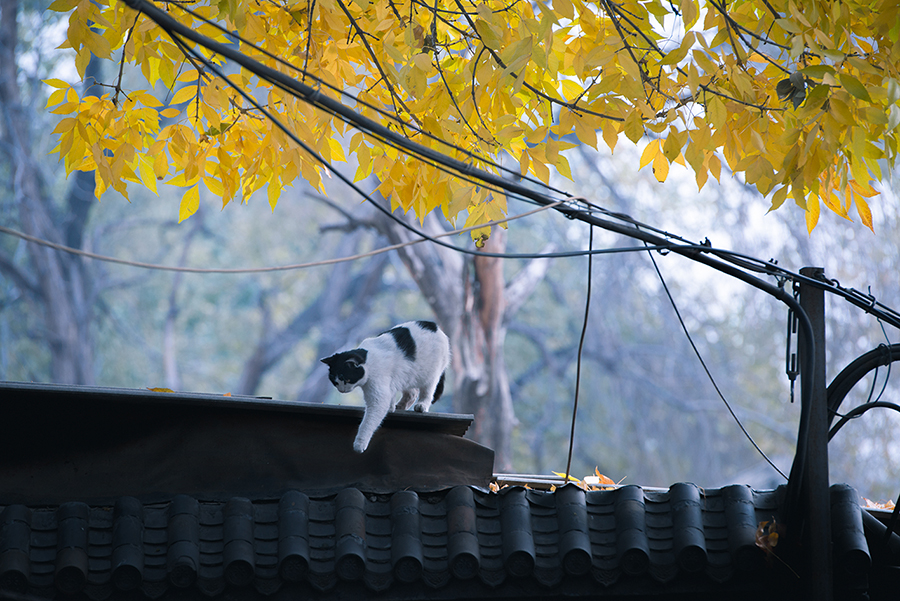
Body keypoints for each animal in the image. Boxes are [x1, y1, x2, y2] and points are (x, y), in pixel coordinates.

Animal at [322, 318, 450, 450]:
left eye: (346, 379)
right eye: (334, 381)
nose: (341, 390)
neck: (369, 361)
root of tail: (434, 326)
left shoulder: (378, 395)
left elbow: (368, 422)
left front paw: (359, 444)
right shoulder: (390, 384)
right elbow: (391, 396)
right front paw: (391, 407)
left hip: (430, 375)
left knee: (427, 392)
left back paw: (422, 405)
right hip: (408, 376)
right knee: (412, 393)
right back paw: (401, 405)